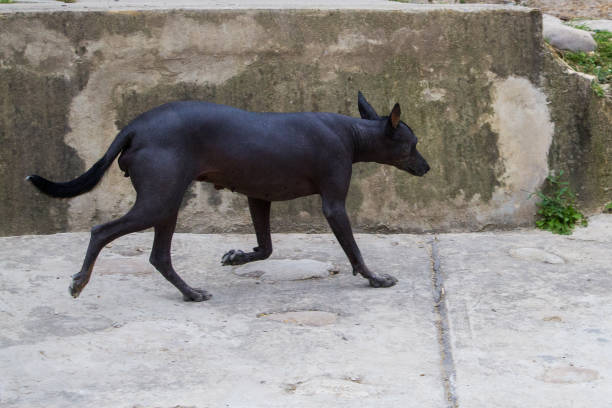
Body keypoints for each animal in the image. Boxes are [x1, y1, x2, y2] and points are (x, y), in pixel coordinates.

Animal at [28, 93, 430, 302]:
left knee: (159, 257)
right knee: (101, 231)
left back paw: (190, 292)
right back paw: (81, 281)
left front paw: (238, 257)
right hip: (157, 203)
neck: (352, 133)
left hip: (166, 205)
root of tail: (135, 128)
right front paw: (373, 277)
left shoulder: (258, 198)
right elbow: (354, 251)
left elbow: (265, 248)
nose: (427, 167)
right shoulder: (333, 205)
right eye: (412, 145)